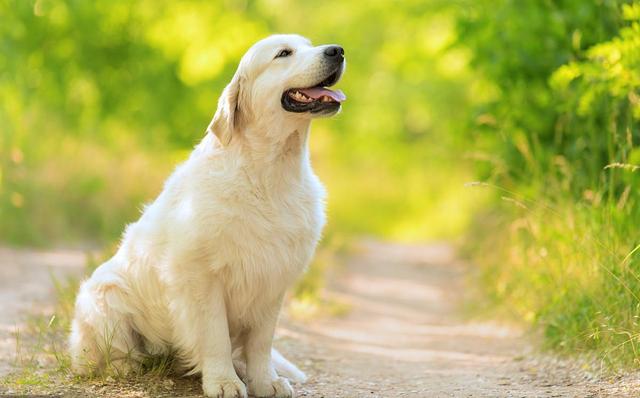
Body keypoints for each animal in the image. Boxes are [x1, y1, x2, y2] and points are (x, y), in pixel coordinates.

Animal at [69, 35, 344, 398]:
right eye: (283, 53)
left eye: (310, 45)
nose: (337, 51)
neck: (269, 173)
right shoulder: (201, 276)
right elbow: (215, 337)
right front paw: (224, 382)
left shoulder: (272, 277)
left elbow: (261, 342)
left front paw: (265, 381)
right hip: (103, 293)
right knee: (107, 354)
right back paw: (126, 366)